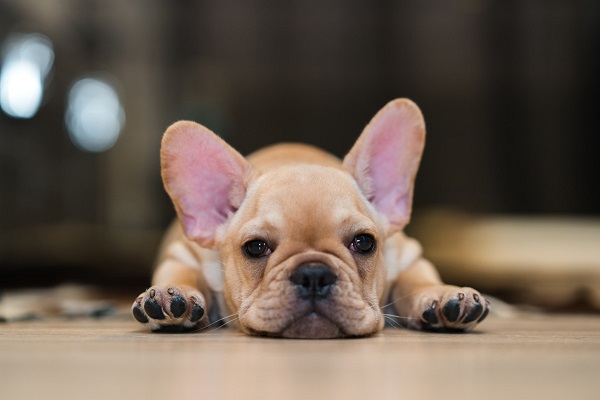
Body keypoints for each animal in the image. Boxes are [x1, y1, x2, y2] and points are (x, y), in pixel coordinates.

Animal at [131, 99, 488, 338]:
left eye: (364, 243)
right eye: (255, 248)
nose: (314, 274)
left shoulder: (408, 254)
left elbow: (417, 278)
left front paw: (440, 295)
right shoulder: (184, 254)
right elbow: (183, 273)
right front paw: (173, 296)